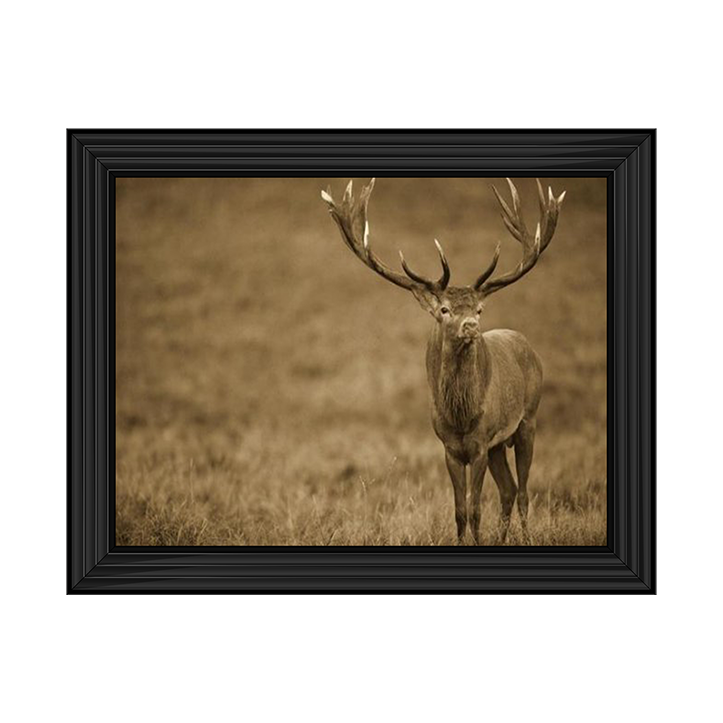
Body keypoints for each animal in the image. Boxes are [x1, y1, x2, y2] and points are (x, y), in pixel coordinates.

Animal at [321, 178, 565, 544]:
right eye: (445, 309)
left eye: (479, 308)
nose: (472, 326)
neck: (461, 416)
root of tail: (528, 346)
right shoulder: (450, 448)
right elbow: (460, 510)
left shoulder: (479, 444)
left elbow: (476, 509)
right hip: (499, 444)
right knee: (508, 490)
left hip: (528, 420)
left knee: (523, 492)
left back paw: (525, 537)